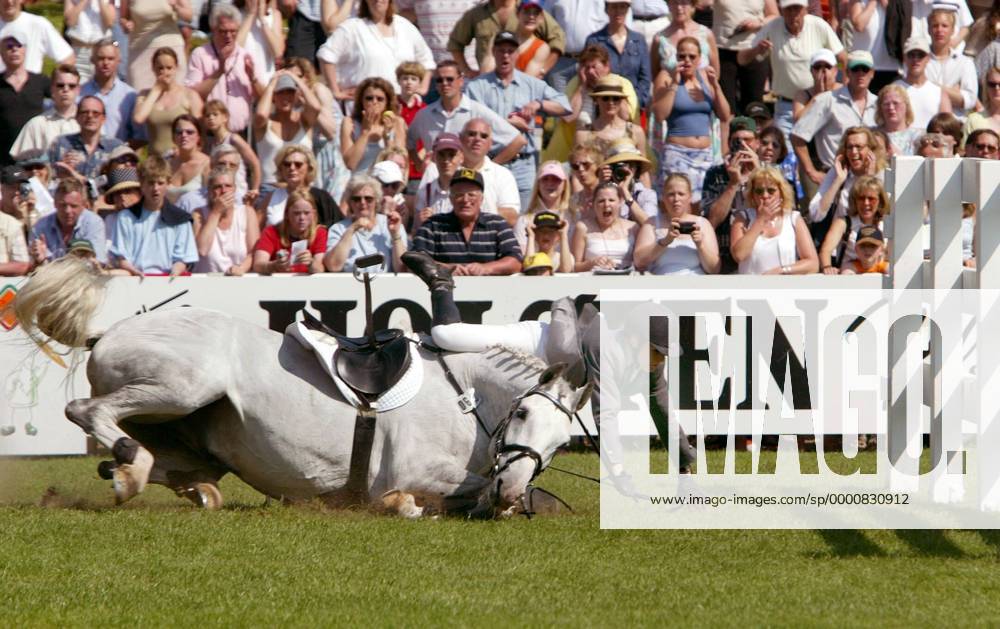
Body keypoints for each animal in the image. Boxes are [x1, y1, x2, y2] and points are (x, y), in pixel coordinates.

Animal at [15, 258, 588, 516]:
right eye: (522, 415)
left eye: (562, 444)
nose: (512, 488)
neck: (464, 400)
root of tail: (106, 331)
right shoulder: (411, 469)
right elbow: (424, 496)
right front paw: (407, 504)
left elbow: (485, 498)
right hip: (184, 385)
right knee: (85, 409)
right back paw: (129, 469)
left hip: (195, 434)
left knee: (169, 465)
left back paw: (153, 478)